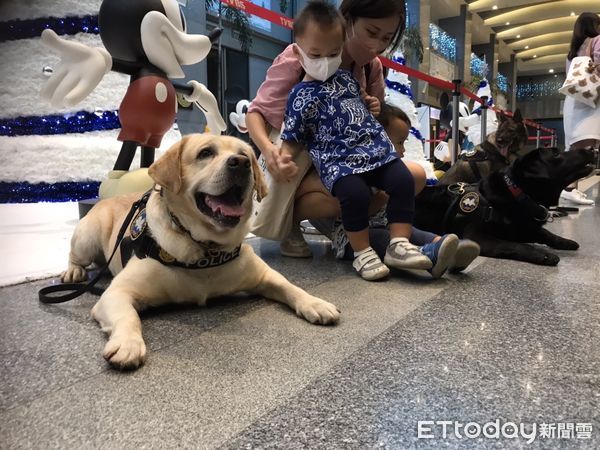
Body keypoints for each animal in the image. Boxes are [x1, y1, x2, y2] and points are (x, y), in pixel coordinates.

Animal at [63, 134, 342, 370]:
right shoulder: (117, 292)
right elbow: (129, 316)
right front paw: (128, 344)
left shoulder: (265, 276)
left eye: (245, 155)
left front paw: (316, 303)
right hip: (86, 239)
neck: (206, 249)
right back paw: (72, 272)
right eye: (205, 153)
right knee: (76, 257)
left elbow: (291, 287)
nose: (241, 163)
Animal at [414, 148, 596, 266]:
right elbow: (514, 245)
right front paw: (543, 254)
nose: (591, 148)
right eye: (556, 154)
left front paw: (565, 241)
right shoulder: (477, 237)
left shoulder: (521, 228)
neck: (518, 194)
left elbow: (545, 233)